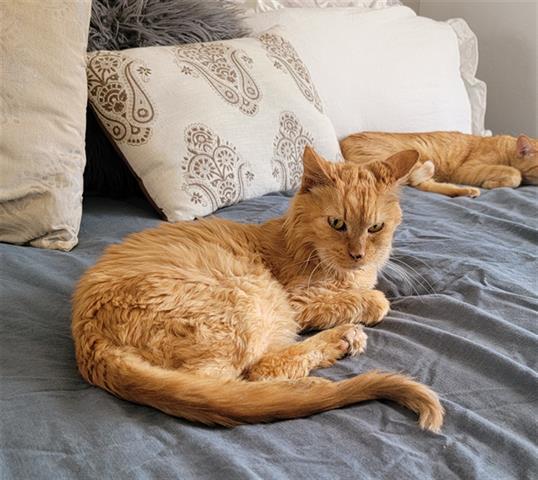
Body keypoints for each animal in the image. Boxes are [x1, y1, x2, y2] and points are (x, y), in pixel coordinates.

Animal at [71, 145, 442, 432]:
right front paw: (370, 301)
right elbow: (365, 300)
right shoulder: (297, 301)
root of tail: (91, 343)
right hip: (249, 299)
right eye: (337, 223)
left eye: (375, 228)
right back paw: (331, 353)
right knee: (246, 379)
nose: (358, 255)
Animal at [340, 131, 536, 197]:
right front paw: (492, 183)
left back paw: (466, 192)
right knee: (417, 180)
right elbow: (515, 174)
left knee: (423, 184)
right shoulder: (467, 169)